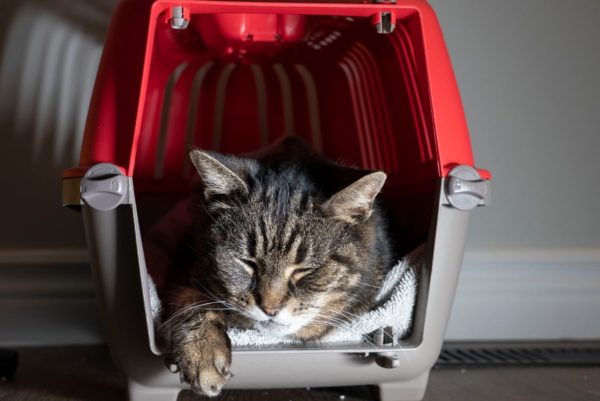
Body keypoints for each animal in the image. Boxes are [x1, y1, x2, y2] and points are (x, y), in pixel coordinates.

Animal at [155, 139, 394, 396]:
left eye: (304, 270)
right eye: (248, 262)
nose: (270, 309)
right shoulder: (181, 269)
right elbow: (193, 301)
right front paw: (203, 349)